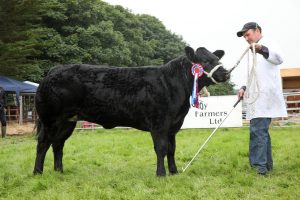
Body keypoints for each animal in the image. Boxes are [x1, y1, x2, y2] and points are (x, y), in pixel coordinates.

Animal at [32, 46, 230, 176]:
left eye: (218, 59)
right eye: (205, 61)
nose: (226, 73)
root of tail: (54, 70)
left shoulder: (173, 126)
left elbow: (172, 149)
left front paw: (174, 172)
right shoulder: (159, 124)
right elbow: (161, 148)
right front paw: (161, 174)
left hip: (67, 122)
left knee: (58, 144)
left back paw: (59, 171)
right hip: (50, 119)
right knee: (43, 144)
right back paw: (37, 172)